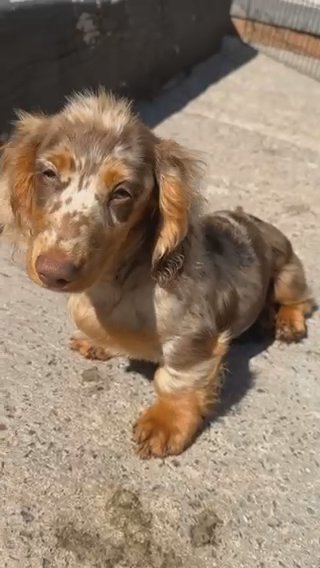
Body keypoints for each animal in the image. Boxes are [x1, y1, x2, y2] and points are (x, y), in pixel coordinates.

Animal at [0, 92, 316, 458]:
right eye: (49, 173)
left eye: (122, 192)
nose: (53, 272)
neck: (117, 284)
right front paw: (97, 343)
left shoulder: (193, 340)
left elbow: (175, 380)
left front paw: (165, 423)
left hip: (288, 273)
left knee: (302, 300)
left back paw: (287, 322)